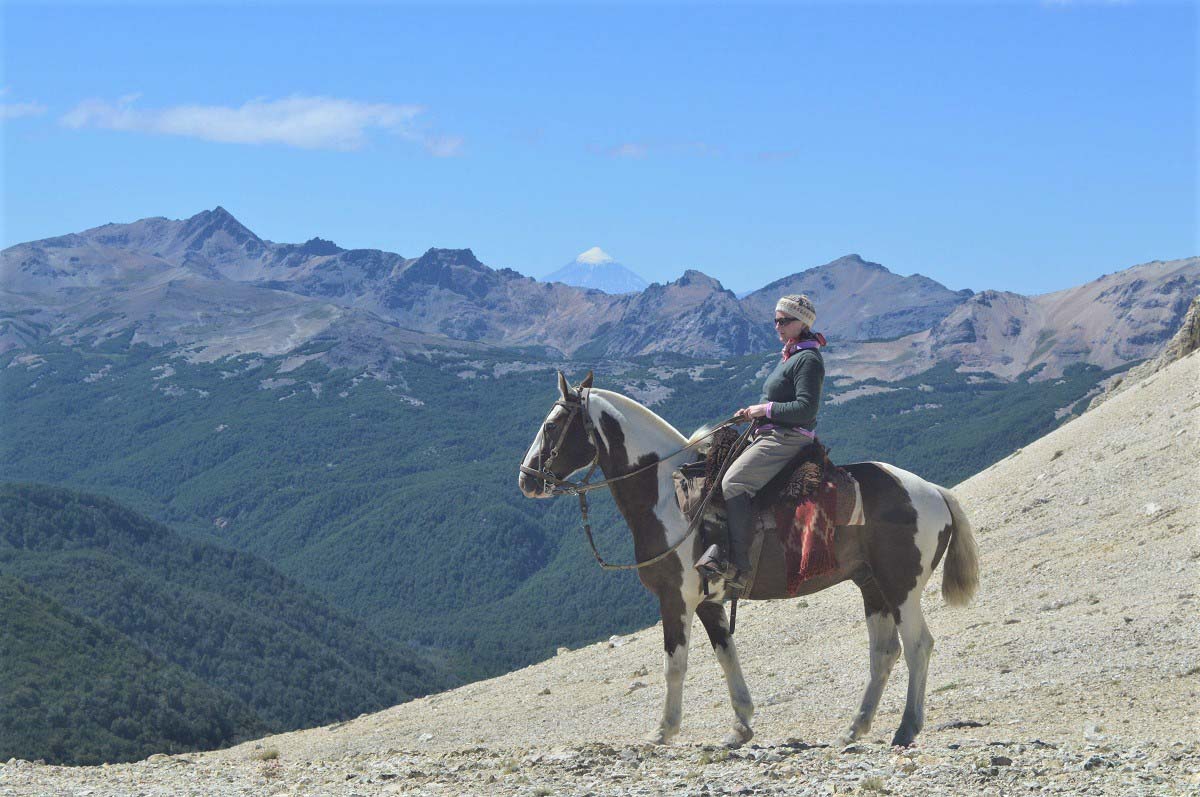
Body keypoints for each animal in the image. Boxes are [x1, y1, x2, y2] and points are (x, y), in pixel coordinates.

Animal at [518, 371, 980, 749]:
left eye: (551, 425)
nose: (527, 480)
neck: (667, 497)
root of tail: (934, 491)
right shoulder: (708, 602)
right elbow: (727, 656)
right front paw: (740, 726)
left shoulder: (675, 599)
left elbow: (674, 664)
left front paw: (663, 731)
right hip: (872, 587)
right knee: (884, 653)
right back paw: (855, 728)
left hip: (901, 588)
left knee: (918, 645)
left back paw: (906, 729)